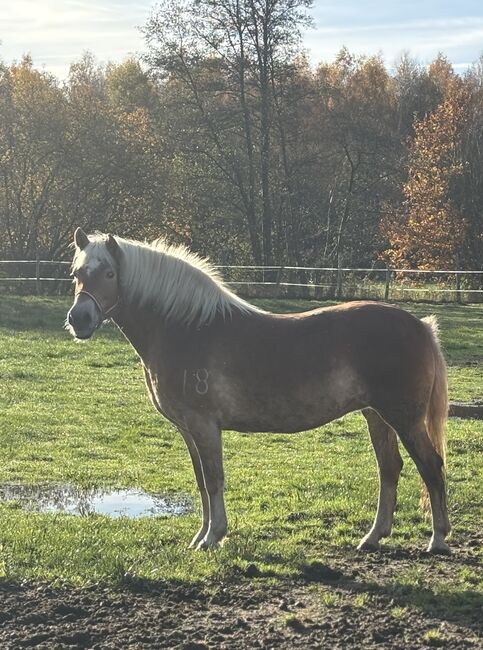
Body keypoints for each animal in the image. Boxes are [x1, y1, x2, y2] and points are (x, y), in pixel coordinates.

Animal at [66, 228, 451, 554]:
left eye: (110, 274)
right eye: (76, 273)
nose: (79, 319)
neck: (185, 328)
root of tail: (420, 326)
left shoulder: (204, 426)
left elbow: (214, 479)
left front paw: (213, 537)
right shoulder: (188, 429)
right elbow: (201, 482)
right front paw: (199, 537)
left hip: (404, 419)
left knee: (431, 465)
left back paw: (438, 539)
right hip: (377, 416)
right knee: (390, 468)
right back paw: (372, 537)